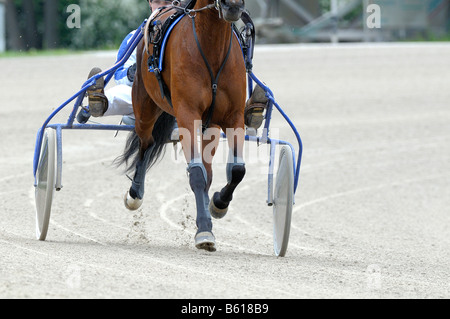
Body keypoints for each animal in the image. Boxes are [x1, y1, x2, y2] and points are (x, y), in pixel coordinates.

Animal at [118, 0, 246, 251]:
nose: (233, 6)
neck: (211, 47)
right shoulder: (187, 114)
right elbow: (196, 174)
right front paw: (204, 231)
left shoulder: (234, 117)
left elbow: (237, 170)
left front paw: (218, 204)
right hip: (144, 107)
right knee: (146, 143)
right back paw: (135, 194)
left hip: (211, 127)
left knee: (208, 170)